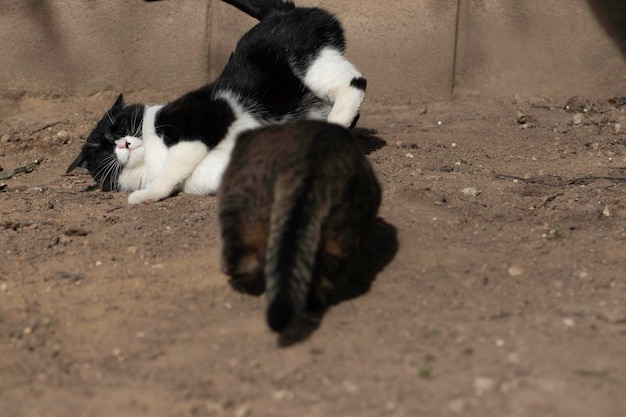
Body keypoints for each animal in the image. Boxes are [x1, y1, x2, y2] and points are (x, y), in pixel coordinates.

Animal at [65, 0, 364, 204]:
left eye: (120, 127)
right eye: (103, 150)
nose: (122, 143)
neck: (150, 157)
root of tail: (282, 11)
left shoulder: (195, 125)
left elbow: (170, 172)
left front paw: (143, 195)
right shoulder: (203, 173)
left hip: (310, 63)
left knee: (355, 82)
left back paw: (339, 119)